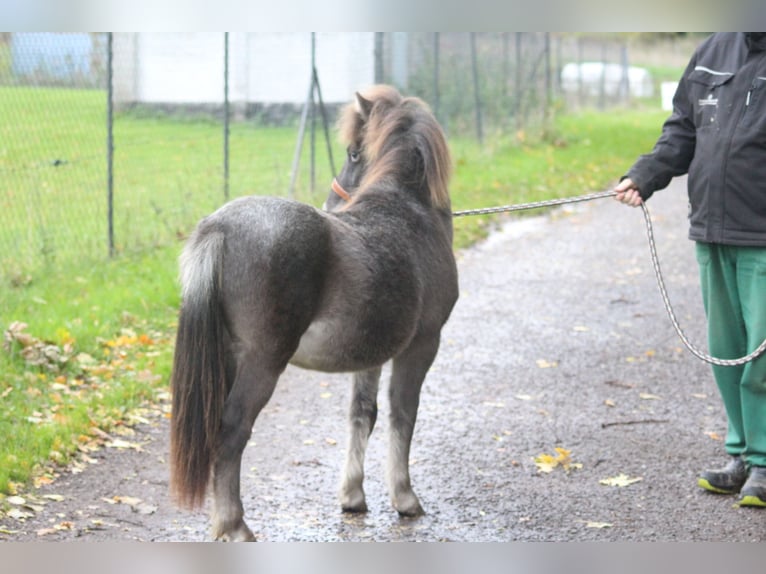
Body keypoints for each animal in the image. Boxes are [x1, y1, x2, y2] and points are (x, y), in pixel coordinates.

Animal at [169, 84, 458, 541]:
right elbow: (403, 415)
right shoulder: (422, 345)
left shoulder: (371, 356)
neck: (410, 212)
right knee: (231, 431)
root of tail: (219, 227)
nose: (331, 202)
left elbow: (363, 416)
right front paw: (405, 498)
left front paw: (353, 496)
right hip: (262, 361)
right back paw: (235, 525)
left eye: (354, 153)